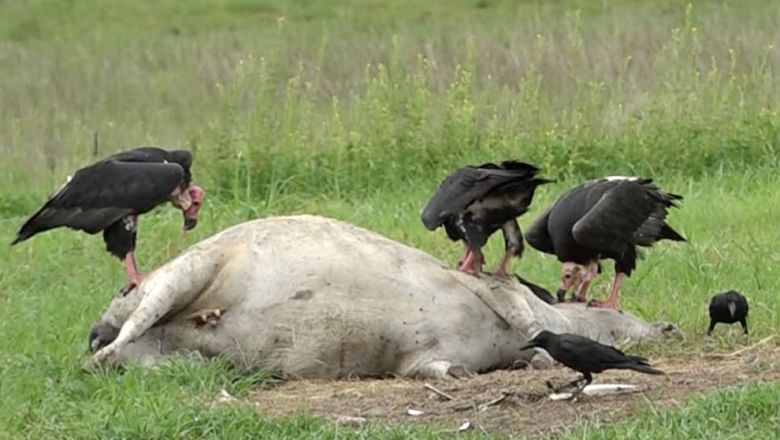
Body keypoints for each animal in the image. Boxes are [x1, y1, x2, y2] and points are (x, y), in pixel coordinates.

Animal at [82, 215, 672, 380]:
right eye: (616, 308)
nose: (671, 327)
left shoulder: (425, 357)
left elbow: (437, 368)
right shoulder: (492, 287)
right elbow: (519, 307)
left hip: (179, 340)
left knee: (132, 356)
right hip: (185, 273)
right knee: (106, 352)